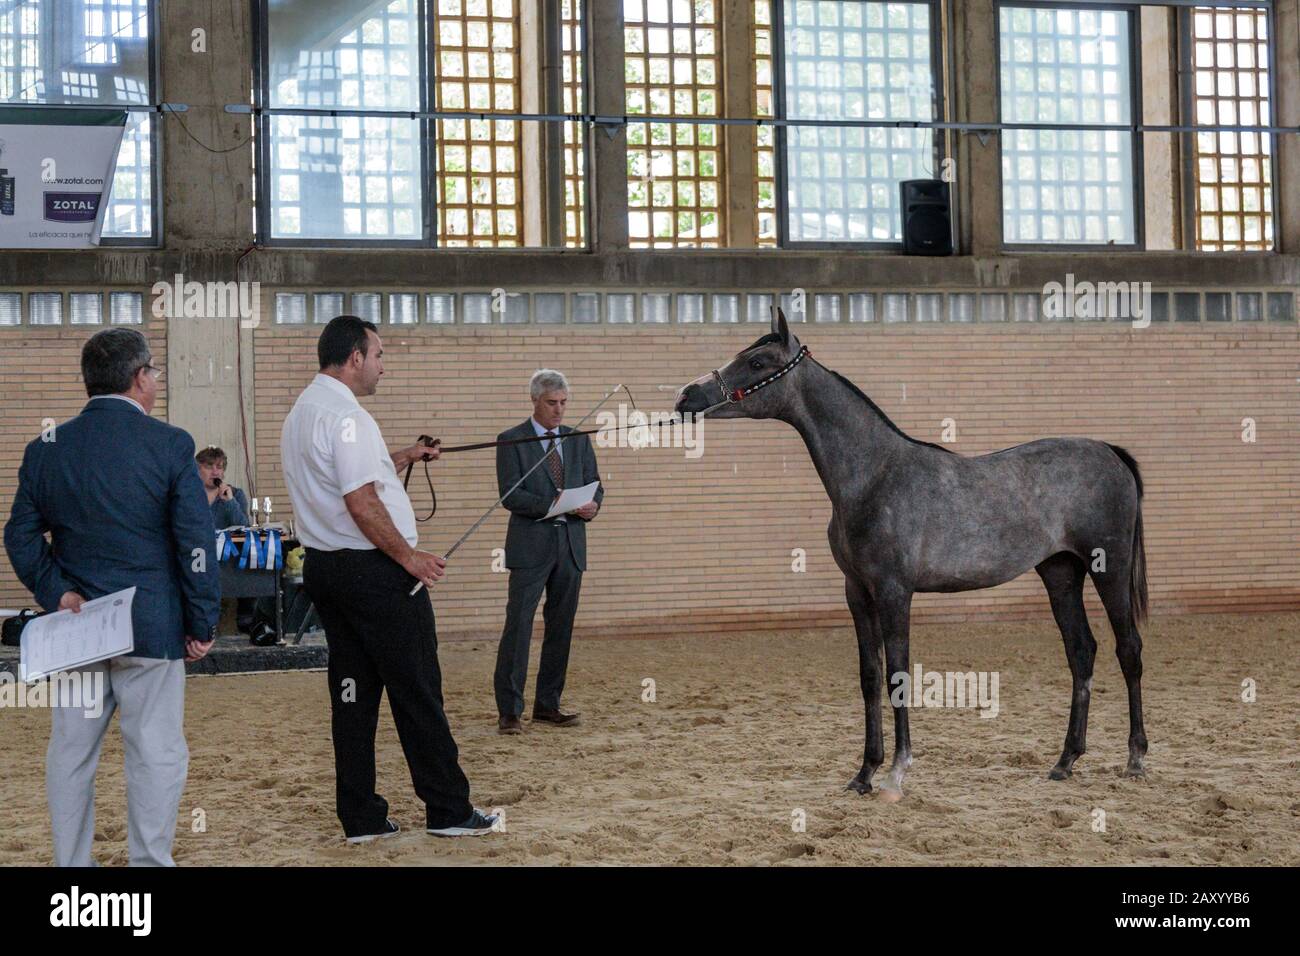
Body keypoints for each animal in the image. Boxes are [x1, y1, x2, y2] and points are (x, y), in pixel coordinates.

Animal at [676, 312, 1154, 801]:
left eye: (756, 362)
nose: (686, 396)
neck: (874, 476)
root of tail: (1110, 452)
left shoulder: (894, 592)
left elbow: (898, 675)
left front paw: (895, 773)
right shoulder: (857, 592)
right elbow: (870, 676)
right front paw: (864, 772)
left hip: (1109, 568)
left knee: (1128, 649)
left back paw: (1135, 758)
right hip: (1060, 572)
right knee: (1081, 651)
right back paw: (1065, 761)